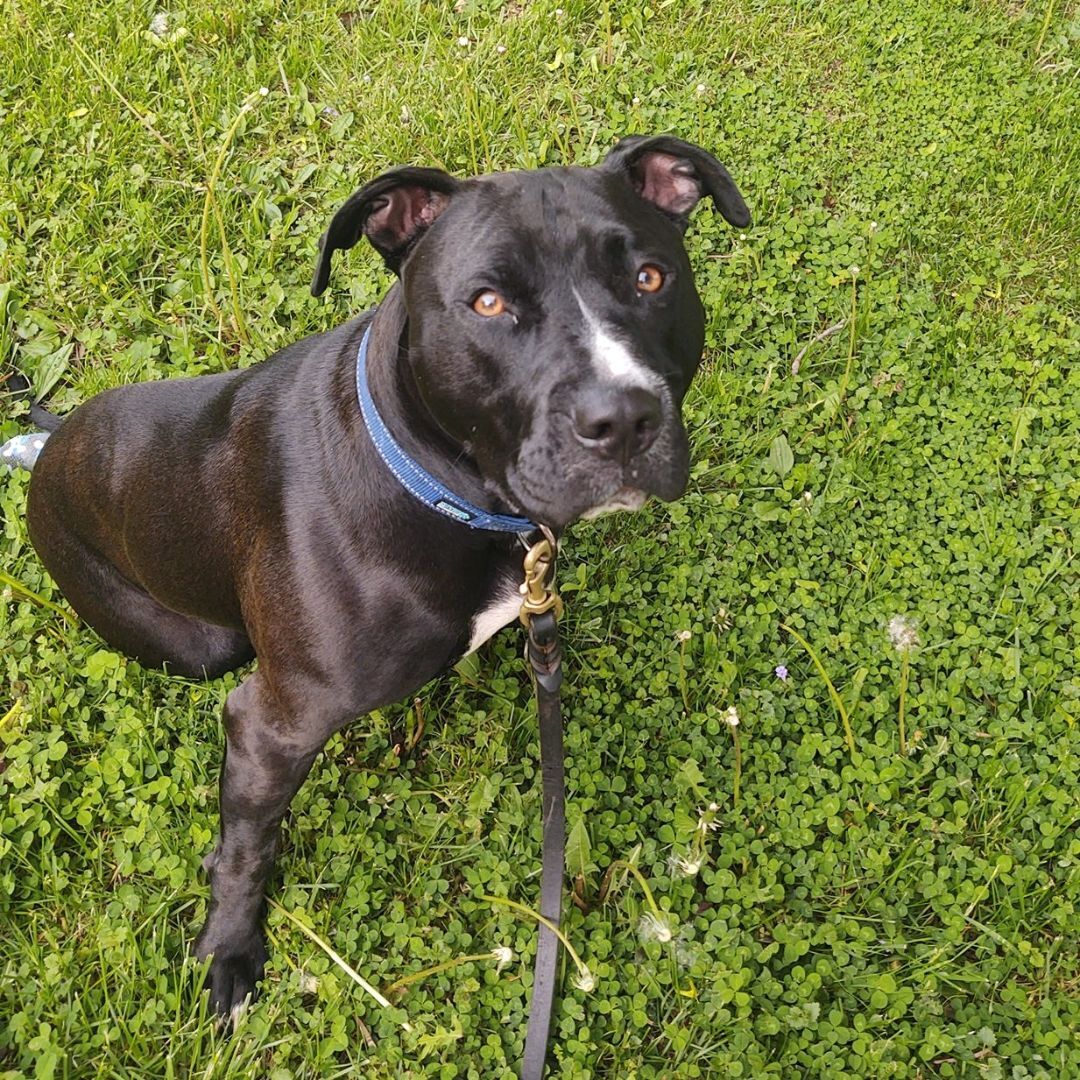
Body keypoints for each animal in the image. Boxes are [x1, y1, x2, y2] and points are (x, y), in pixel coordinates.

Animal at [12, 135, 747, 1010]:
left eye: (651, 278)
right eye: (487, 303)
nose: (625, 418)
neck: (438, 483)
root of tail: (50, 447)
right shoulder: (269, 725)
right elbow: (249, 847)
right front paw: (229, 947)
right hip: (191, 646)